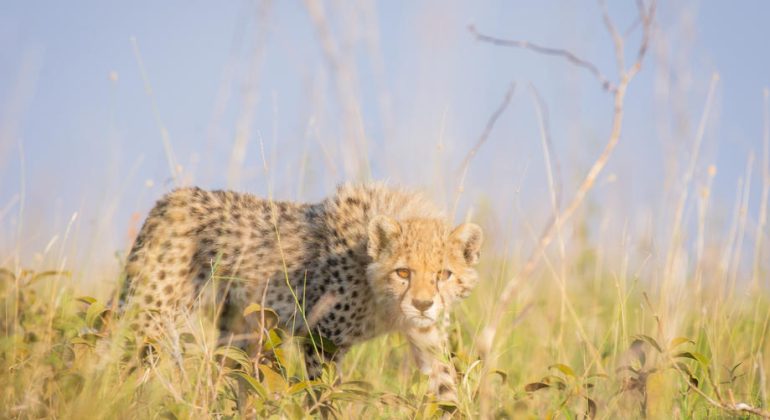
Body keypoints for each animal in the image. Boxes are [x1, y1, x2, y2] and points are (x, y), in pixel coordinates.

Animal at [119, 183, 480, 400]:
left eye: (443, 274)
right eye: (403, 272)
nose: (422, 304)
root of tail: (173, 196)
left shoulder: (428, 337)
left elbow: (446, 386)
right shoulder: (322, 339)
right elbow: (324, 393)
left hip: (242, 330)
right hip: (150, 315)